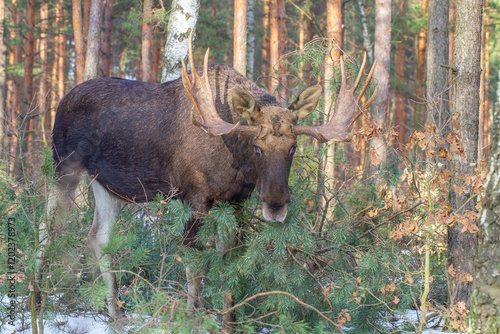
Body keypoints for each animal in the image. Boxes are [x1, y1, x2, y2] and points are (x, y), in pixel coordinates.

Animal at [47, 32, 376, 324]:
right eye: (257, 146)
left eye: (293, 146)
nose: (276, 204)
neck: (237, 164)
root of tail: (61, 101)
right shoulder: (195, 197)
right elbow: (196, 265)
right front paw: (192, 316)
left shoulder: (235, 202)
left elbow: (229, 261)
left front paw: (228, 320)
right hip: (64, 166)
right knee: (49, 226)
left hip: (106, 184)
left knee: (98, 237)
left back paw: (114, 312)